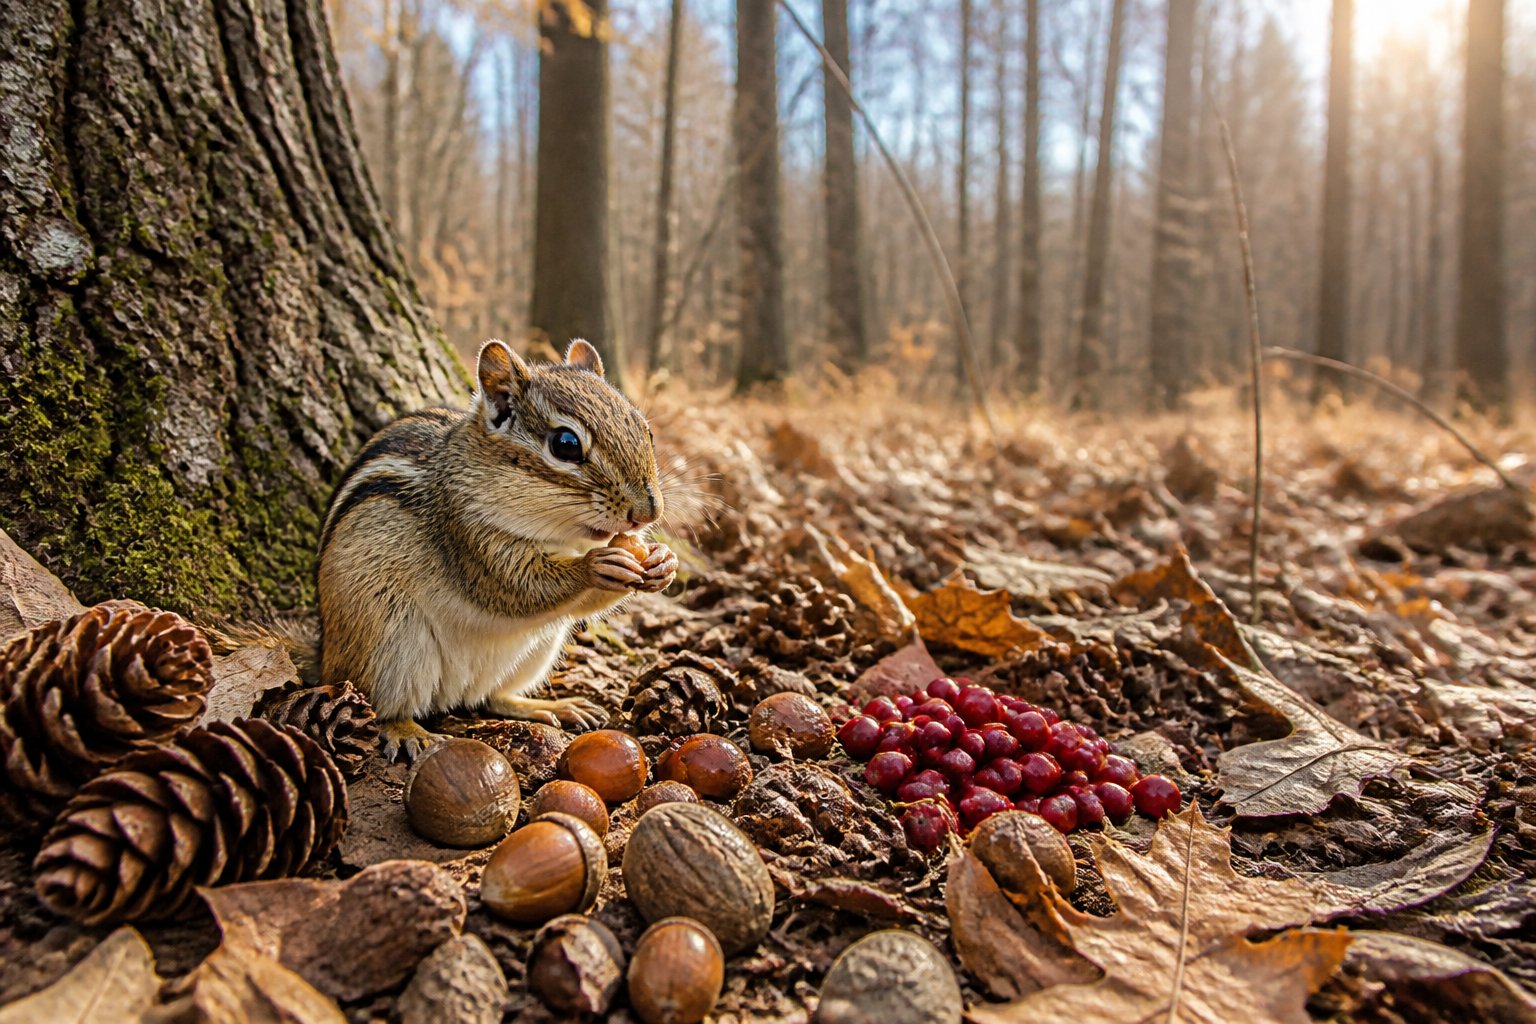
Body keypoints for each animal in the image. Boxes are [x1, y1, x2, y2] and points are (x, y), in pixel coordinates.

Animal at [317, 338, 677, 762]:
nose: (648, 512)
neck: (558, 533)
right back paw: (406, 730)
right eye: (566, 445)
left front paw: (664, 562)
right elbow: (518, 587)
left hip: (537, 650)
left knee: (492, 697)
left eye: (645, 429)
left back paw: (548, 706)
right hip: (389, 641)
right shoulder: (466, 536)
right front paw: (595, 565)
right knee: (380, 704)